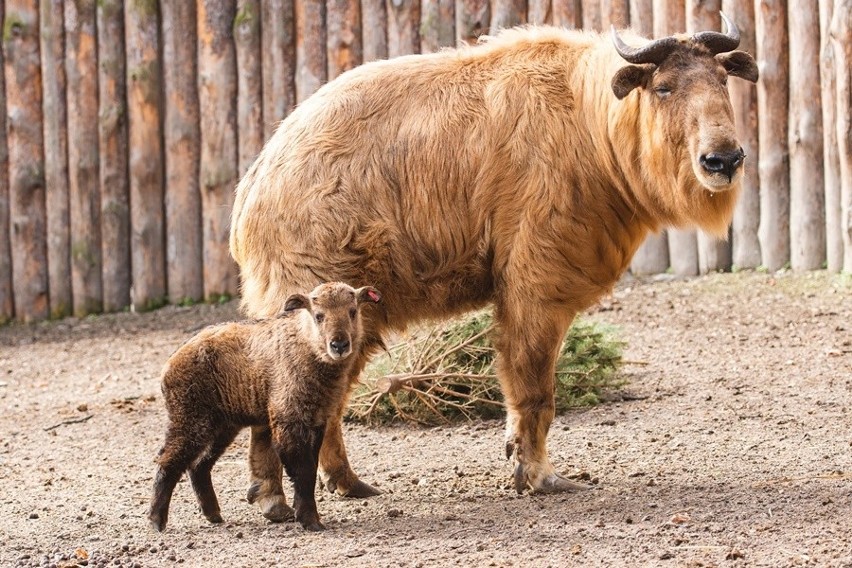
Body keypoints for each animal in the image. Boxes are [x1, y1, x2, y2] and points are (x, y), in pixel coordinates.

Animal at [148, 282, 382, 532]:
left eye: (353, 311)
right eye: (319, 315)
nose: (339, 345)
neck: (305, 345)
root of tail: (170, 363)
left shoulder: (318, 420)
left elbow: (310, 468)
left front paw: (304, 514)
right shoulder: (288, 418)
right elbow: (303, 471)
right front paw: (310, 520)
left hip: (221, 425)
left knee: (199, 466)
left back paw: (213, 514)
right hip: (189, 417)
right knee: (168, 460)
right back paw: (156, 520)